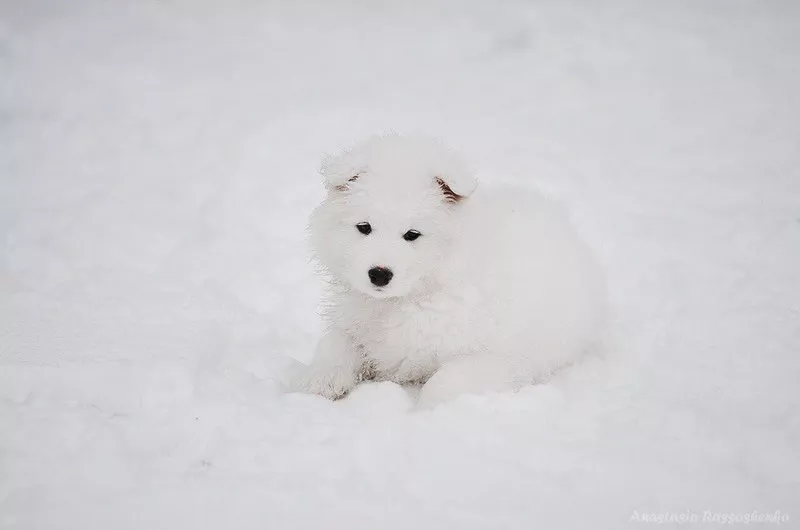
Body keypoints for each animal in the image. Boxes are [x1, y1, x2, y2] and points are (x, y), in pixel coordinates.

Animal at [296, 134, 608, 406]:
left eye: (412, 234)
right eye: (364, 227)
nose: (379, 274)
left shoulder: (497, 358)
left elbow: (445, 380)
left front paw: (426, 411)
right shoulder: (357, 325)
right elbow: (335, 341)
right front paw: (322, 381)